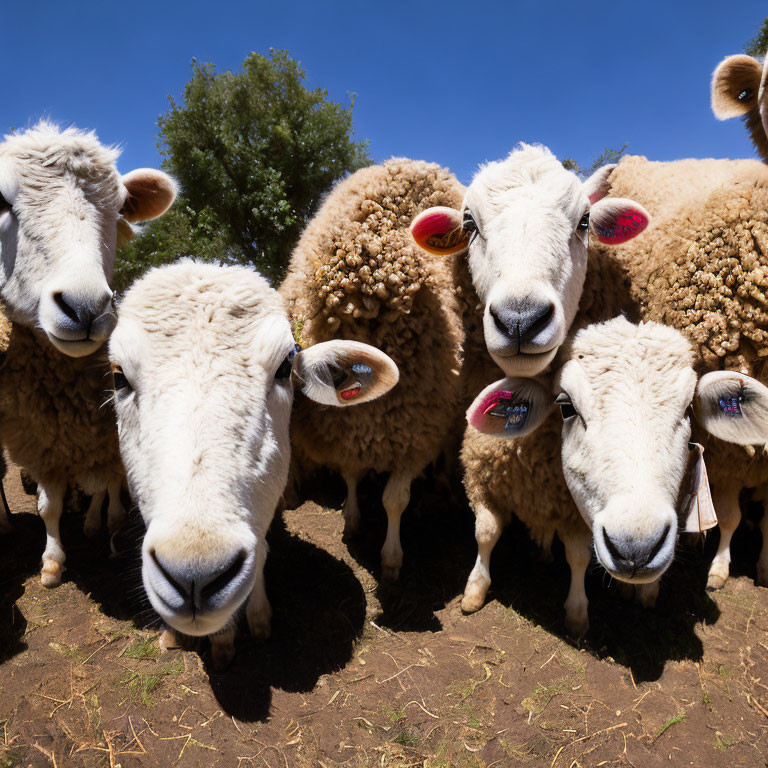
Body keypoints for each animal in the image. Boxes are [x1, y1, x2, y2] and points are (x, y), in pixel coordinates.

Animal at [0, 123, 176, 584]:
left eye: (117, 210)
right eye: (0, 202)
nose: (86, 308)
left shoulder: (110, 441)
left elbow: (110, 488)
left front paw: (109, 531)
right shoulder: (42, 443)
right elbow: (49, 506)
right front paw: (51, 562)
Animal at [280, 159, 464, 580]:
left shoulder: (416, 432)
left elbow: (395, 499)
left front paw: (392, 559)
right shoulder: (345, 427)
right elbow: (350, 471)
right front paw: (351, 518)